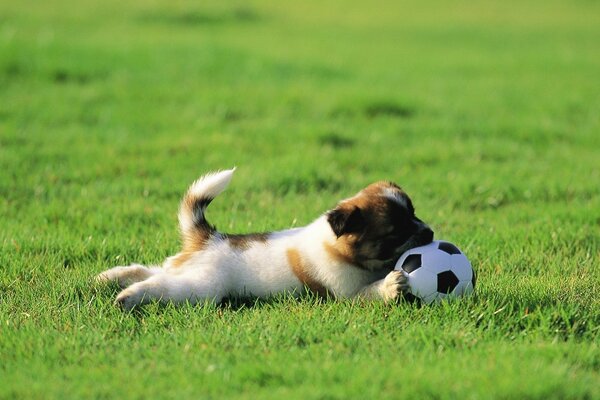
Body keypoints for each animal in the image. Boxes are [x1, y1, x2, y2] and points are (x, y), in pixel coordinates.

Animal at [96, 169, 434, 310]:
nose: (430, 233)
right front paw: (391, 285)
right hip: (202, 285)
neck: (340, 248)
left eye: (415, 213)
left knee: (150, 270)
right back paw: (128, 297)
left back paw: (108, 278)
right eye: (395, 232)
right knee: (160, 285)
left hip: (185, 268)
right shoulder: (347, 294)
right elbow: (372, 291)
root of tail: (209, 238)